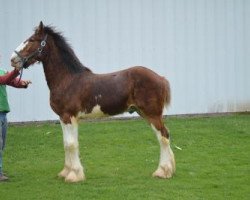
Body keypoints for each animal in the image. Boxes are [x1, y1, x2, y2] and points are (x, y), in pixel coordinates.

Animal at [10, 21, 176, 183]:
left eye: (32, 40)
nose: (13, 59)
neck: (67, 80)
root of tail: (160, 78)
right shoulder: (62, 117)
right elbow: (66, 144)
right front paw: (65, 172)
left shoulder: (69, 116)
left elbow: (71, 144)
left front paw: (74, 175)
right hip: (144, 113)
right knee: (162, 135)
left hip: (152, 114)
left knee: (163, 136)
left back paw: (162, 172)